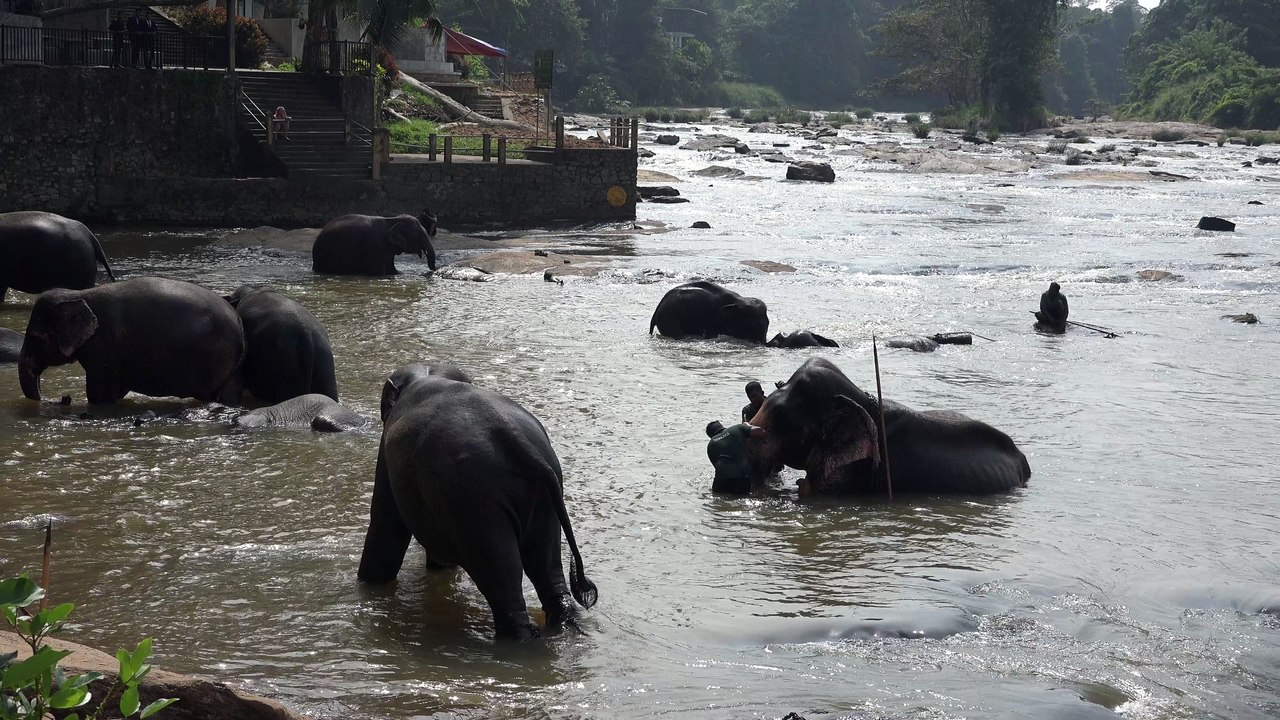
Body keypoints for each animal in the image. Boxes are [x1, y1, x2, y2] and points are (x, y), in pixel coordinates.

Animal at [19, 277, 245, 405]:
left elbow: (100, 395)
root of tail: (239, 322)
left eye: (36, 338)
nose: (64, 398)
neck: (78, 294)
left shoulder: (104, 347)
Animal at [358, 363, 598, 640]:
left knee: (502, 576)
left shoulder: (387, 455)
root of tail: (517, 440)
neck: (428, 373)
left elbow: (386, 524)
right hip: (543, 498)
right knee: (546, 566)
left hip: (473, 504)